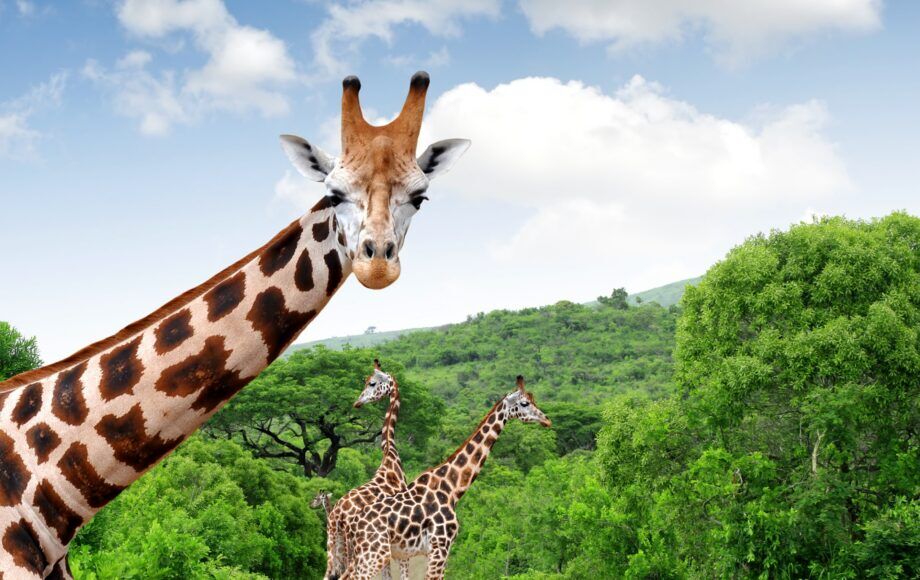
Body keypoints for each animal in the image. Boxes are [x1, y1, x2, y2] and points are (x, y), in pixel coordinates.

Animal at [324, 359, 410, 580]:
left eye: (371, 383)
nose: (357, 402)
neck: (390, 455)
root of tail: (336, 516)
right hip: (355, 550)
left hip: (333, 546)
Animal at [342, 376, 551, 580]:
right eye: (524, 403)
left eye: (533, 399)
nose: (547, 420)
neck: (452, 487)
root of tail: (352, 526)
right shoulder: (440, 546)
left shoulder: (436, 551)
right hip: (374, 554)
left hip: (365, 554)